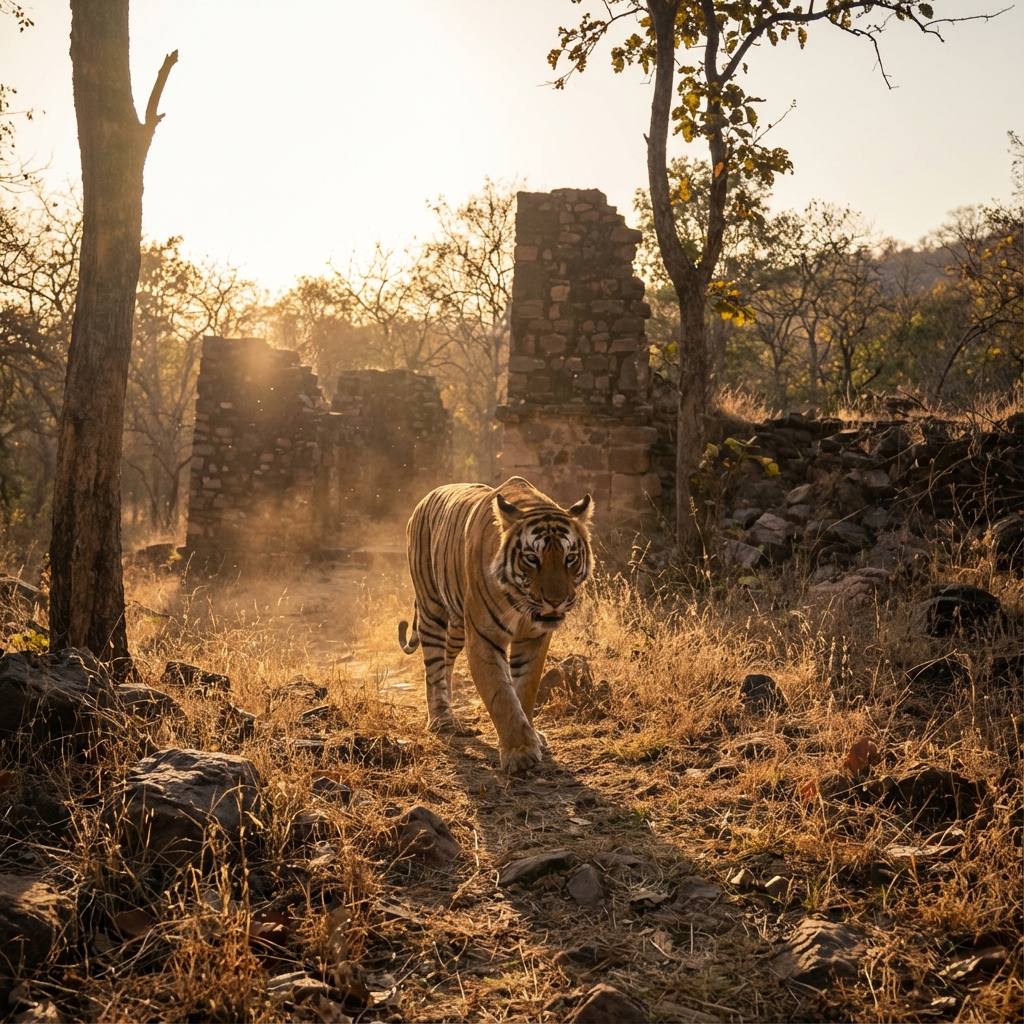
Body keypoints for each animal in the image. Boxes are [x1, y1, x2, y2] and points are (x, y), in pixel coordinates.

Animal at [398, 476, 593, 774]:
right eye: (532, 559)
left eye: (570, 558)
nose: (556, 601)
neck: (523, 605)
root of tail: (426, 497)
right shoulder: (483, 636)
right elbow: (501, 694)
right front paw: (520, 752)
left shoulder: (534, 638)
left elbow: (525, 688)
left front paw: (531, 735)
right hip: (432, 607)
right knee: (433, 666)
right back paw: (442, 719)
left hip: (458, 625)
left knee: (446, 661)